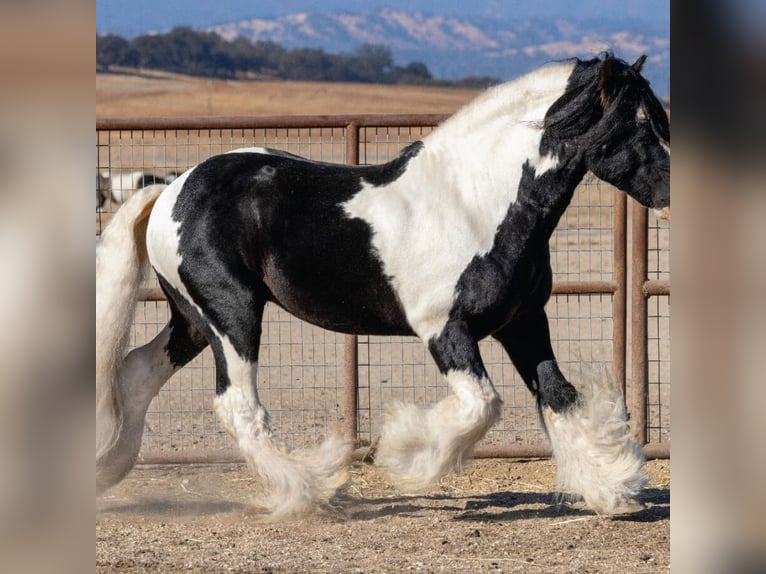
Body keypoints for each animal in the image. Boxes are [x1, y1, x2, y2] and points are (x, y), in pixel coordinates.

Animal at [96, 56, 672, 520]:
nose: (672, 196)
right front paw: (400, 457)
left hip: (193, 320)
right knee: (239, 405)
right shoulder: (445, 329)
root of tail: (171, 187)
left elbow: (559, 397)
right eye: (639, 124)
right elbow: (481, 405)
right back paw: (312, 490)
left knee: (136, 372)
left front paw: (612, 491)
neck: (474, 202)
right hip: (231, 313)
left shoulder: (525, 324)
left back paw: (109, 469)